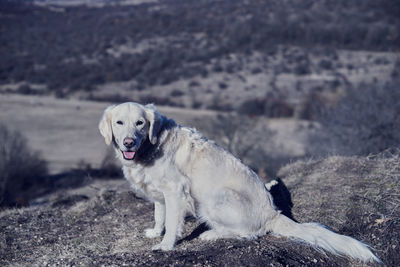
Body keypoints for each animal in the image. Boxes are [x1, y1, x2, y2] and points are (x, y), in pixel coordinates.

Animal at [98, 102, 380, 264]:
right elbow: (159, 215)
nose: (129, 142)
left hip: (214, 199)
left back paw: (211, 234)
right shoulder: (161, 193)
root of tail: (273, 212)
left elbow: (172, 222)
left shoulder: (176, 191)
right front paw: (156, 232)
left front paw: (166, 245)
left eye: (140, 123)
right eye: (119, 123)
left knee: (249, 233)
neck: (150, 146)